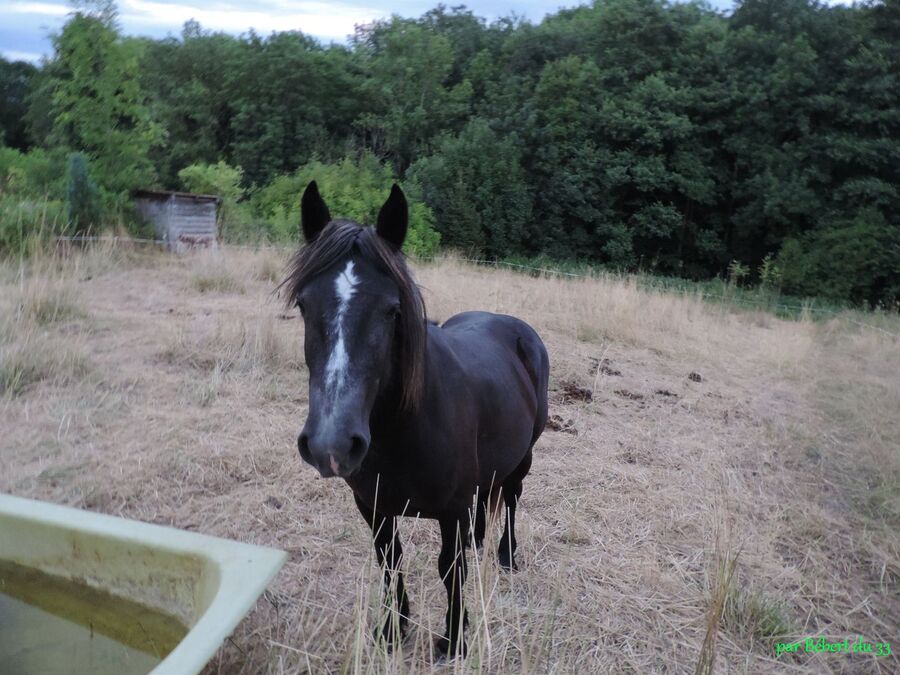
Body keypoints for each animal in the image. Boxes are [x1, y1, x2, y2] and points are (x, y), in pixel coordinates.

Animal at [284, 182, 548, 656]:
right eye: (303, 304)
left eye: (392, 310)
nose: (331, 444)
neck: (406, 432)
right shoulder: (373, 507)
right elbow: (390, 560)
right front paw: (392, 629)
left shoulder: (452, 509)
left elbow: (450, 567)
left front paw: (454, 638)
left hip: (524, 457)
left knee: (513, 497)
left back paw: (506, 555)